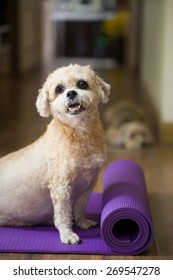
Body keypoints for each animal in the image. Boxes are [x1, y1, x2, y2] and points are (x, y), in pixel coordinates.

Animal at [0, 63, 111, 243]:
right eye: (59, 89)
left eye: (82, 84)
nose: (71, 93)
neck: (78, 134)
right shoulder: (61, 187)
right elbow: (63, 214)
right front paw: (67, 234)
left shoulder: (88, 184)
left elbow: (80, 207)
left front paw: (82, 222)